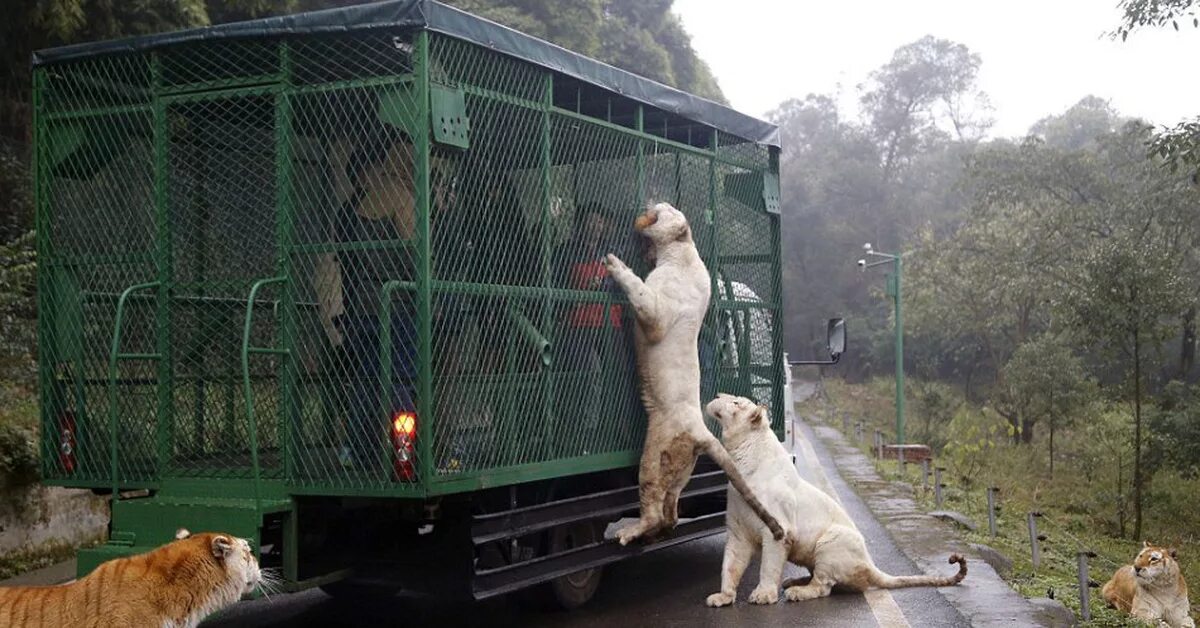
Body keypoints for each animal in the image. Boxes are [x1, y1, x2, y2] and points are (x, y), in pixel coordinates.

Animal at [604, 202, 782, 545]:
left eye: (664, 209)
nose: (649, 204)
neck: (680, 249)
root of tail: (702, 431)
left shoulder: (658, 314)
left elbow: (641, 294)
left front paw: (615, 264)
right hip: (681, 468)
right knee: (671, 510)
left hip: (656, 451)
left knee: (653, 503)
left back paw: (630, 532)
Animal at [700, 396, 964, 607]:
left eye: (736, 402)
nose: (718, 394)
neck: (740, 459)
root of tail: (869, 562)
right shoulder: (737, 532)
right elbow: (730, 565)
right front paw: (723, 597)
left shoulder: (778, 531)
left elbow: (768, 565)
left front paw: (763, 595)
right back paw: (792, 581)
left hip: (833, 541)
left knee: (823, 586)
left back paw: (797, 591)